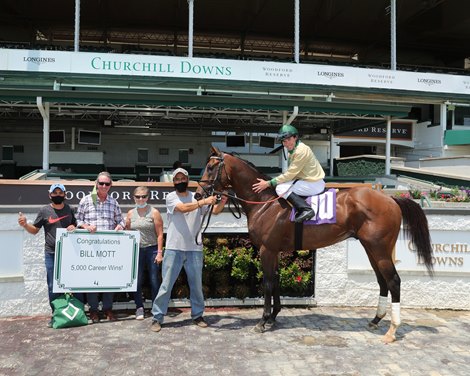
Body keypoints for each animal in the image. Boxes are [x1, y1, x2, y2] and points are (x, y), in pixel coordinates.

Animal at [197, 147, 434, 344]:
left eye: (210, 167)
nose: (199, 194)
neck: (265, 203)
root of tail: (391, 199)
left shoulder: (267, 250)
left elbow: (268, 283)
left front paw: (263, 321)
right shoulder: (274, 251)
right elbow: (276, 280)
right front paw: (273, 316)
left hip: (380, 249)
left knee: (394, 281)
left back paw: (392, 330)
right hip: (371, 249)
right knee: (382, 281)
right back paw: (375, 320)